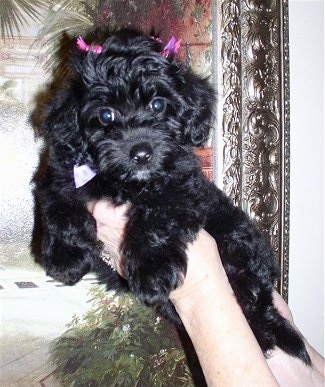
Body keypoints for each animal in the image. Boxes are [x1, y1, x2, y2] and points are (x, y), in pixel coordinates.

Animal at [35, 28, 308, 366]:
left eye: (157, 105)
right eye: (105, 114)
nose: (141, 153)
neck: (125, 183)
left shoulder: (182, 187)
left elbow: (156, 219)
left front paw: (151, 272)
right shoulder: (63, 170)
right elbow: (59, 205)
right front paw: (66, 257)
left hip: (240, 243)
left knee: (256, 300)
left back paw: (264, 335)